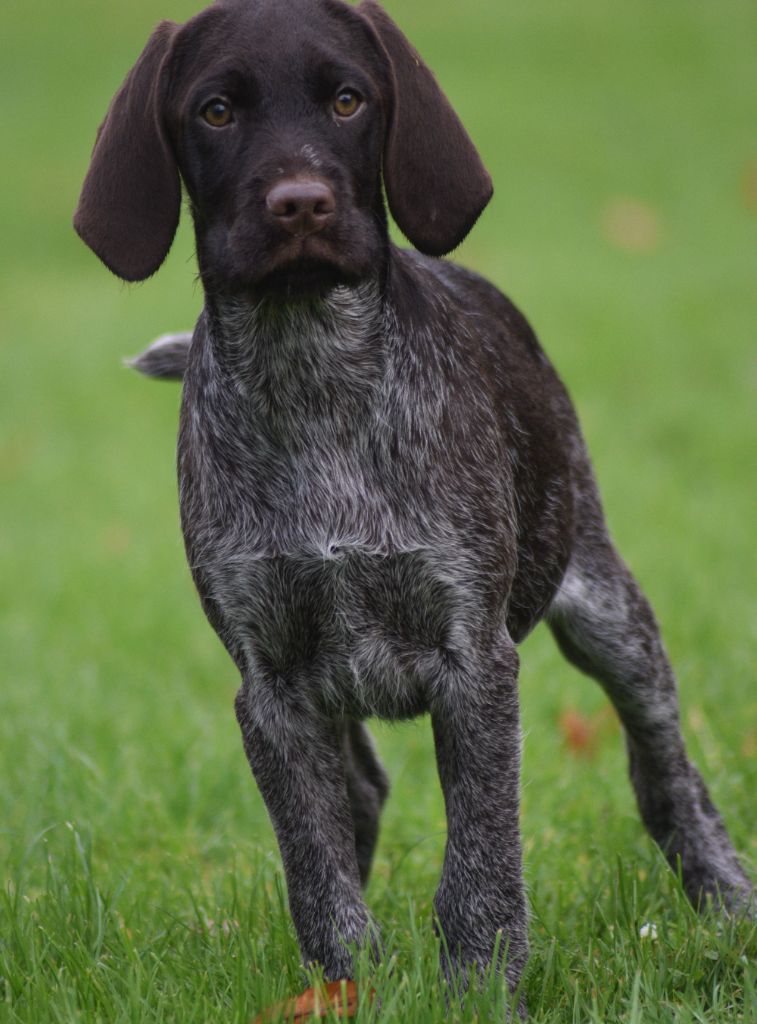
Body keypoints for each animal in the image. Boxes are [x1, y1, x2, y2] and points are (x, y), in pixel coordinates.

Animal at [72, 0, 753, 1007]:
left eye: (348, 100)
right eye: (215, 111)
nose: (301, 203)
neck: (311, 375)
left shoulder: (474, 663)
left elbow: (479, 867)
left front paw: (477, 993)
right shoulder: (271, 686)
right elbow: (315, 869)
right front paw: (344, 991)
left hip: (607, 612)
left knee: (666, 770)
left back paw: (727, 904)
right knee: (357, 794)